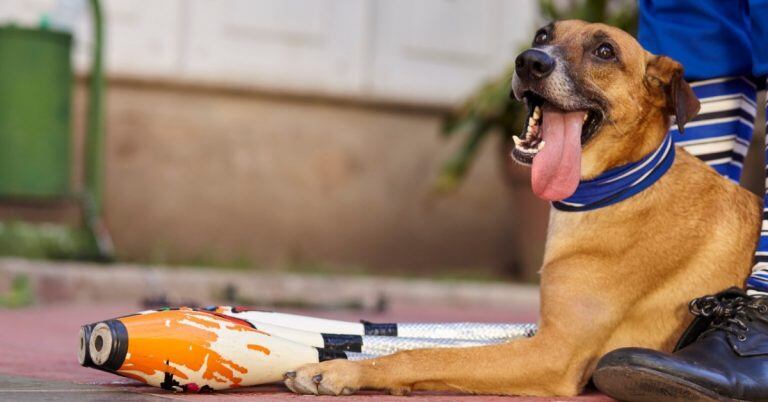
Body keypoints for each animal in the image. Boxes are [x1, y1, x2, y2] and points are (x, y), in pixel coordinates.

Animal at [284, 20, 760, 398]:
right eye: (543, 35)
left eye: (605, 51)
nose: (529, 62)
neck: (619, 188)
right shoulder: (539, 335)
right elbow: (427, 344)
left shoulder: (555, 353)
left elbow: (426, 354)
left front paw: (343, 371)